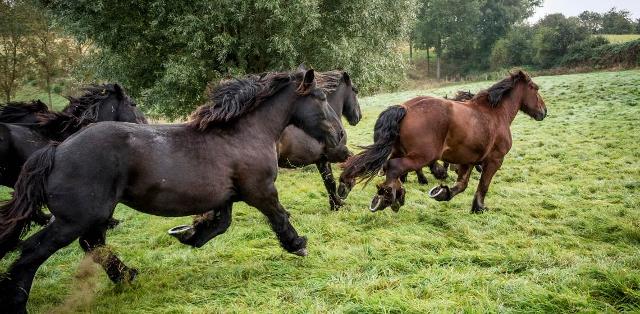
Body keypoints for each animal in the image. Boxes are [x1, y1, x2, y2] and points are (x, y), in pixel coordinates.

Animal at [278, 69, 362, 211]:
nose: (358, 117)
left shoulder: (321, 159)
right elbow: (348, 163)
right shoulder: (335, 153)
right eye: (355, 90)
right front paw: (343, 191)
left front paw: (335, 204)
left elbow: (328, 181)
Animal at [342, 70, 548, 213]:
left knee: (389, 168)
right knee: (394, 167)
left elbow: (462, 185)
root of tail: (405, 108)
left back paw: (394, 195)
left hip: (400, 151)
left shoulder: (468, 161)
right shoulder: (494, 160)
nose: (544, 112)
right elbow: (483, 185)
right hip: (421, 156)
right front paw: (479, 207)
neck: (495, 113)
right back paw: (389, 199)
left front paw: (443, 193)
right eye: (536, 89)